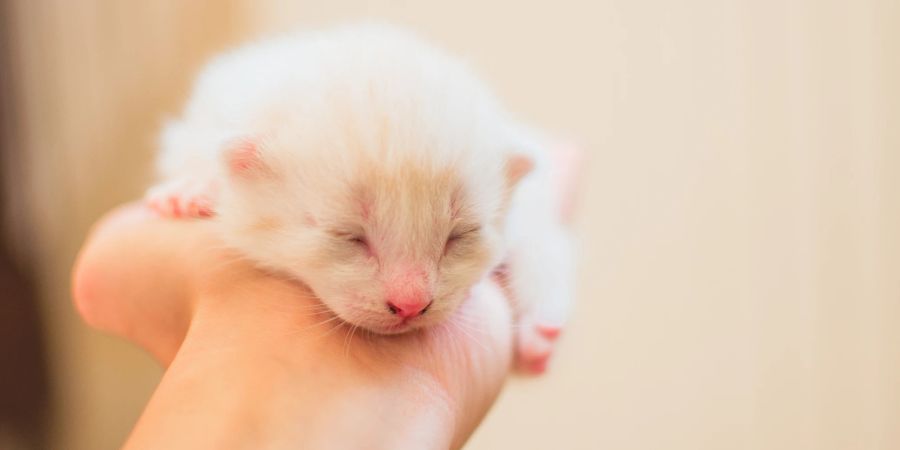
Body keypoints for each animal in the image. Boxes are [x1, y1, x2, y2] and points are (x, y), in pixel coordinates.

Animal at [144, 23, 572, 372]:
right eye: (349, 236)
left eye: (459, 236)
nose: (410, 305)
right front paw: (192, 186)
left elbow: (544, 243)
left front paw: (540, 326)